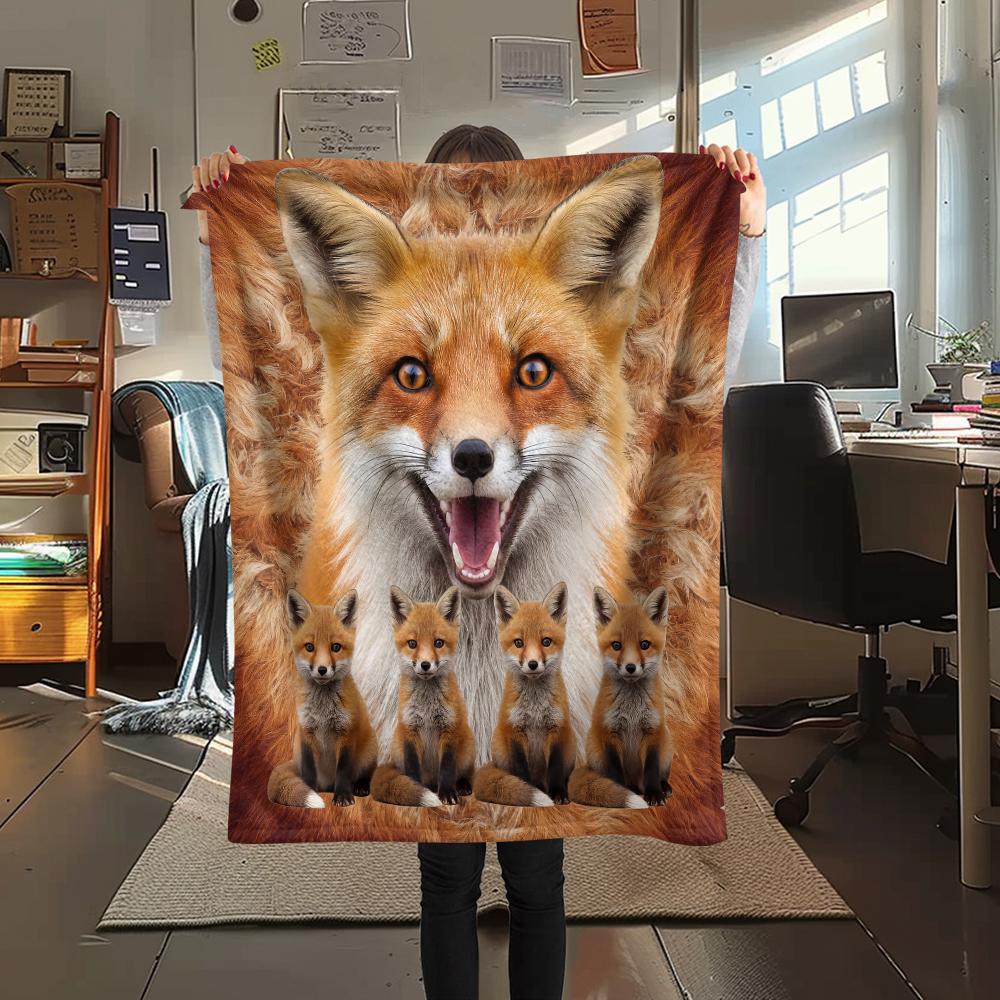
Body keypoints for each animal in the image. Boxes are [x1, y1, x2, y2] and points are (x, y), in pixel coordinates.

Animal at [267, 588, 378, 808]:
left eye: (336, 647)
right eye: (309, 647)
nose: (322, 669)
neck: (323, 711)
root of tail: (327, 784)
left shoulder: (346, 734)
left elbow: (343, 770)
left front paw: (343, 797)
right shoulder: (306, 733)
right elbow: (309, 769)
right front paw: (310, 790)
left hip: (370, 750)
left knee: (364, 774)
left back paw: (360, 787)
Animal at [370, 585, 476, 807]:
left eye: (438, 643)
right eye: (412, 643)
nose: (425, 665)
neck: (427, 707)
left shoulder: (449, 729)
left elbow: (447, 769)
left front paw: (448, 795)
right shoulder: (410, 730)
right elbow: (412, 768)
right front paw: (413, 791)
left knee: (464, 773)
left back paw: (461, 786)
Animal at [474, 581, 575, 808]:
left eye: (546, 642)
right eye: (519, 643)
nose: (533, 664)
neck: (535, 707)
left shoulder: (556, 729)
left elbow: (555, 769)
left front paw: (558, 794)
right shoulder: (515, 730)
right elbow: (521, 770)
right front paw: (527, 791)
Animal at [568, 586, 673, 809]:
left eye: (644, 644)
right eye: (616, 645)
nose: (631, 667)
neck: (632, 710)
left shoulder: (652, 731)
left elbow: (651, 769)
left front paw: (654, 794)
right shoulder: (610, 733)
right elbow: (616, 772)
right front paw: (621, 793)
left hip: (667, 742)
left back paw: (663, 786)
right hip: (594, 748)